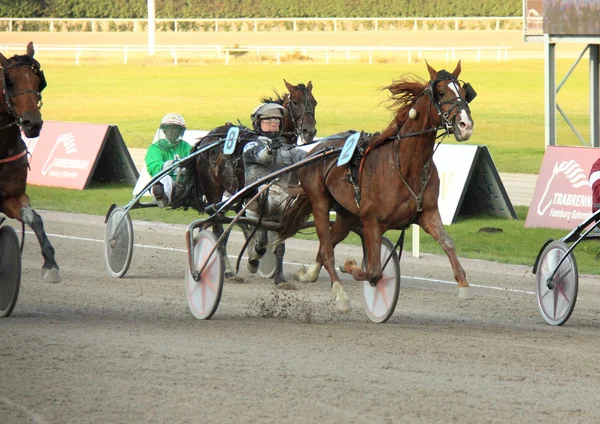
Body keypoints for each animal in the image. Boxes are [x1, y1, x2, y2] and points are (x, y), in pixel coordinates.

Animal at [0, 42, 60, 282]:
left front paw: (50, 263)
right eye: (10, 81)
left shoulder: (12, 197)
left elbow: (34, 218)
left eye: (38, 82)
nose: (32, 123)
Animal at [172, 79, 316, 282]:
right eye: (295, 102)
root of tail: (206, 140)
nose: (309, 131)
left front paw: (278, 276)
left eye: (314, 102)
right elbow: (258, 231)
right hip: (214, 191)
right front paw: (255, 256)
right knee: (218, 228)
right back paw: (227, 269)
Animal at [278, 60, 476, 312]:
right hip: (319, 201)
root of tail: (315, 150)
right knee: (327, 249)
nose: (465, 125)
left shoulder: (427, 212)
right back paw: (340, 292)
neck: (405, 164)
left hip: (346, 214)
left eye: (463, 93)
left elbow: (448, 243)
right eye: (441, 93)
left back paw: (308, 275)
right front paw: (349, 266)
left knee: (325, 246)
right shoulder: (372, 221)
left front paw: (463, 283)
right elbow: (373, 271)